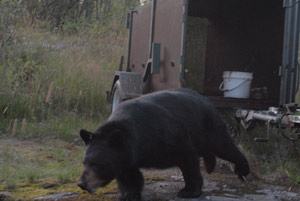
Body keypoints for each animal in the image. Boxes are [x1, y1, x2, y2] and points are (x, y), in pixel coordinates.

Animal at [77, 88, 248, 201]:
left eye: (98, 164)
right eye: (84, 162)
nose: (81, 184)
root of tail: (206, 99)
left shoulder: (169, 136)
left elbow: (188, 158)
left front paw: (189, 191)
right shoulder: (127, 157)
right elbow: (129, 176)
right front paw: (129, 194)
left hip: (207, 124)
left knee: (223, 145)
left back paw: (242, 169)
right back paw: (210, 165)